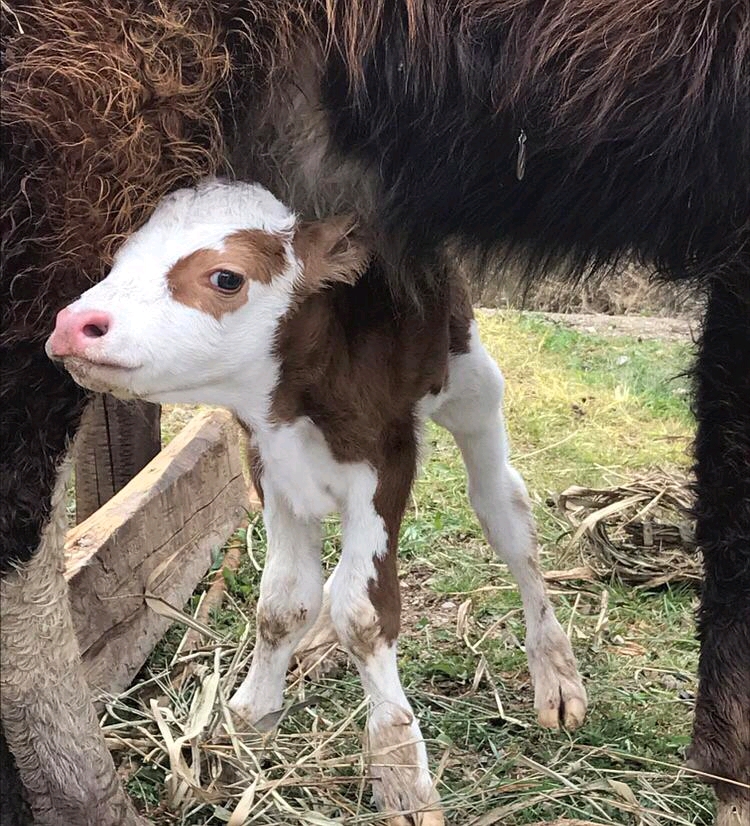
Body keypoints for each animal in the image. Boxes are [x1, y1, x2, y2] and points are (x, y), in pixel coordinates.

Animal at [47, 182, 592, 824]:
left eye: (226, 278)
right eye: (117, 260)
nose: (73, 323)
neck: (298, 404)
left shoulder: (385, 468)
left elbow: (365, 612)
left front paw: (399, 771)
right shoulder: (272, 472)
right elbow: (283, 604)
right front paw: (249, 718)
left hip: (474, 388)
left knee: (504, 513)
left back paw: (555, 672)